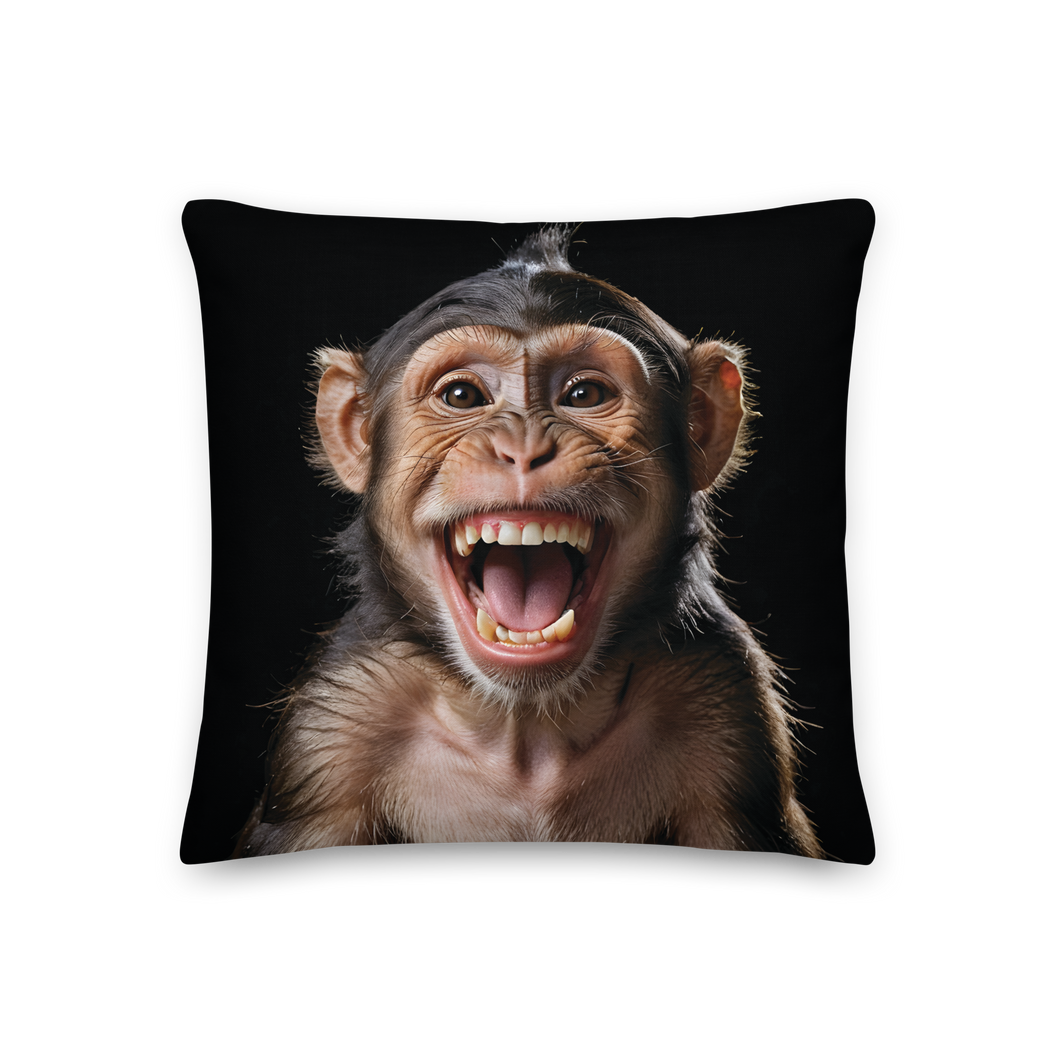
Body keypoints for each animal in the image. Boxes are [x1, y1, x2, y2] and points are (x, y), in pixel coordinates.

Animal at [232, 225, 823, 857]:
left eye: (584, 395)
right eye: (462, 396)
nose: (523, 446)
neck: (526, 731)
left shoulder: (727, 714)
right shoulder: (329, 732)